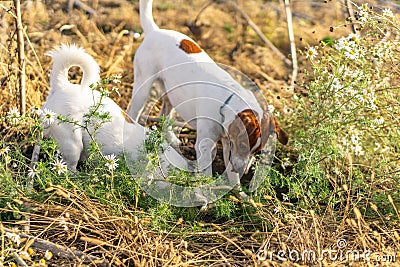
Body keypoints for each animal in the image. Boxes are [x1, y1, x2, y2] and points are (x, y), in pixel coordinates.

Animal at [128, 0, 288, 191]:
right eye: (243, 145)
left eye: (257, 151)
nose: (243, 170)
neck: (226, 102)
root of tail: (154, 31)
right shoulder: (206, 145)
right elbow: (206, 173)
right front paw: (207, 192)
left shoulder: (228, 143)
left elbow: (231, 173)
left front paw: (238, 192)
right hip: (142, 88)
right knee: (133, 112)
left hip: (172, 94)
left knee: (164, 115)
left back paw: (172, 139)